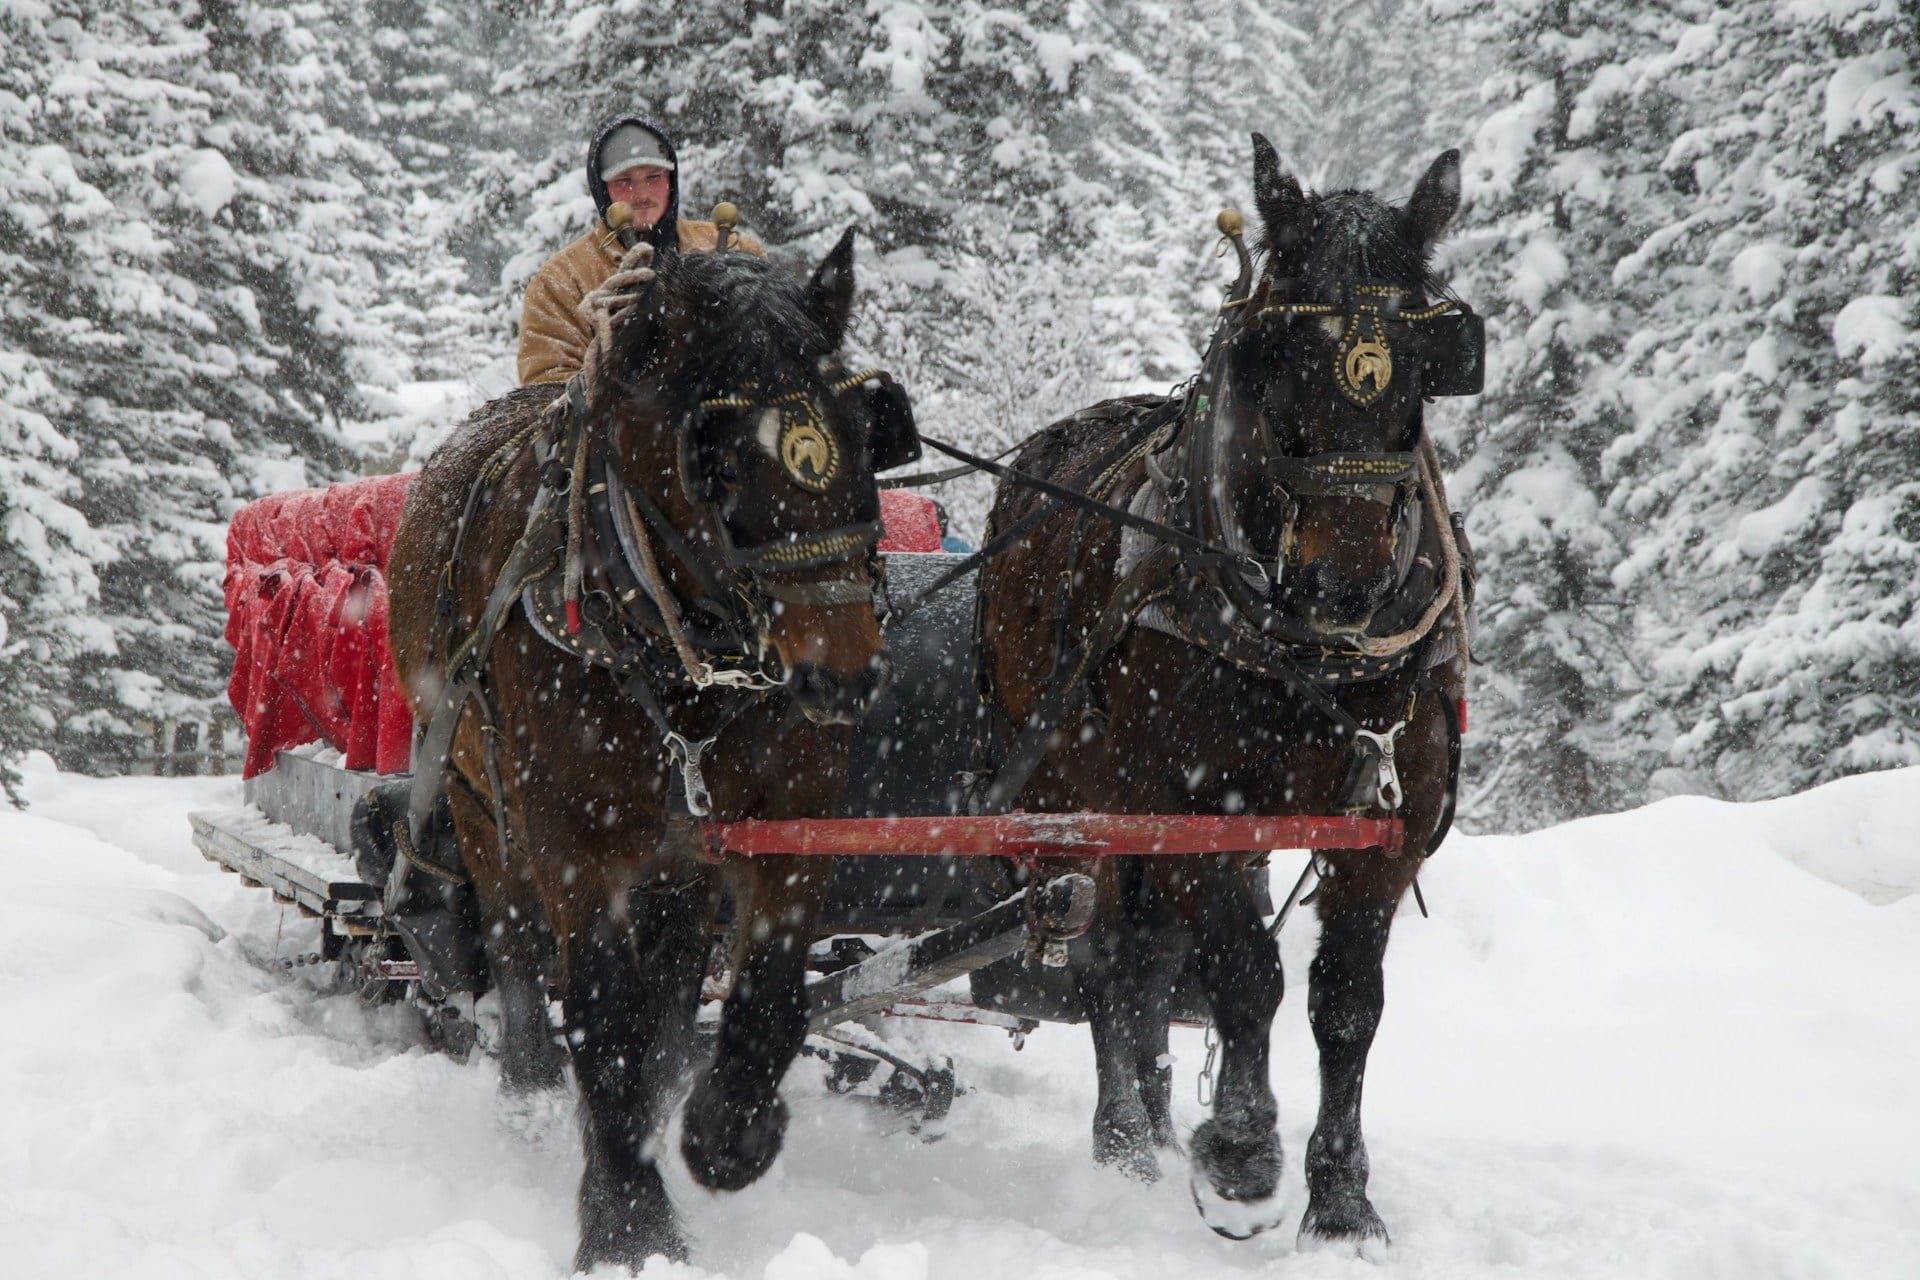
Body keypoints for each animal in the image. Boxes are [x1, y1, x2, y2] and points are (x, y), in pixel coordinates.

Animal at [385, 237, 910, 1274]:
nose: (843, 677)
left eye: (865, 433)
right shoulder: (572, 841)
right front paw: (627, 1218)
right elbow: (601, 1005)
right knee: (515, 945)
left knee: (672, 979)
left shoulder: (786, 818)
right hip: (475, 797)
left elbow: (767, 991)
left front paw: (726, 1133)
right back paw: (533, 1094)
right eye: (721, 462)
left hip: (678, 857)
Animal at [983, 140, 1474, 1251]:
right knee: (1106, 953)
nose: (1344, 584)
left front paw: (1341, 1200)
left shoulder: (1392, 815)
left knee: (1150, 958)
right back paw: (1127, 1136)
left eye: (1425, 372)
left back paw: (1160, 1124)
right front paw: (1245, 1151)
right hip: (1087, 794)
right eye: (1278, 361)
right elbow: (1247, 972)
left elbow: (1346, 1000)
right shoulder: (1198, 804)